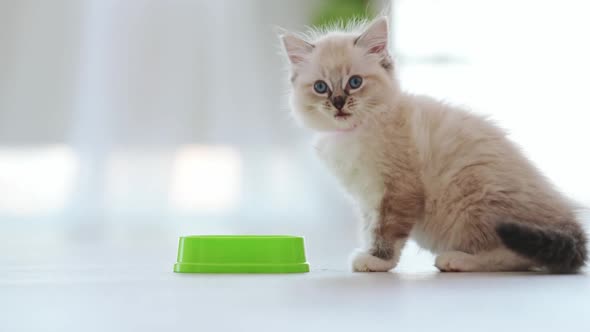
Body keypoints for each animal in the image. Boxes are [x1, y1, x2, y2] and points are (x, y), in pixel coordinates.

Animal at [280, 16, 588, 274]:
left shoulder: (397, 190)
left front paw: (377, 261)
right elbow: (370, 228)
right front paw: (370, 253)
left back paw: (457, 260)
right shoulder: (368, 198)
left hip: (473, 199)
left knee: (514, 256)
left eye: (354, 82)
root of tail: (569, 223)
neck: (354, 134)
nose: (338, 103)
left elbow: (386, 231)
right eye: (321, 87)